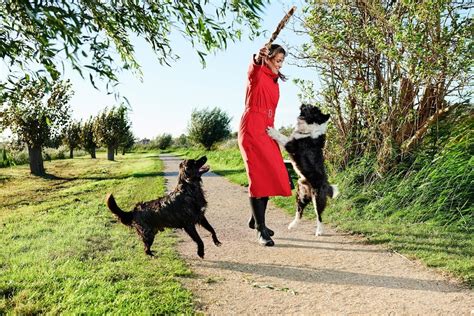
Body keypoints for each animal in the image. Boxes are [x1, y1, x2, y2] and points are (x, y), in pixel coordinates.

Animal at [268, 105, 338, 236]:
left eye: (312, 108)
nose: (304, 104)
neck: (310, 129)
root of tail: (326, 185)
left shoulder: (291, 145)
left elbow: (281, 136)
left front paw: (272, 131)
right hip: (300, 197)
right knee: (299, 213)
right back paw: (292, 225)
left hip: (317, 200)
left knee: (319, 216)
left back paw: (319, 231)